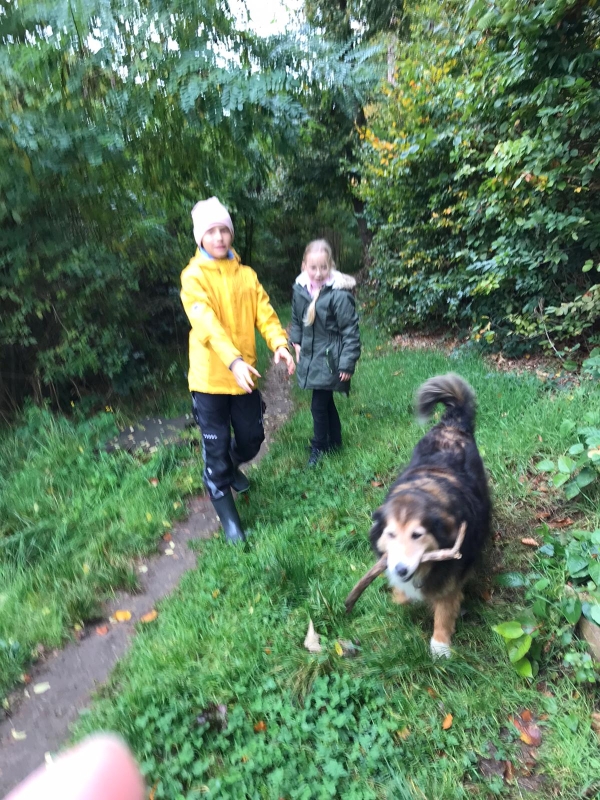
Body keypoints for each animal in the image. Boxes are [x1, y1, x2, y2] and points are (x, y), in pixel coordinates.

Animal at [369, 373, 490, 658]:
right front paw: (401, 595)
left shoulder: (451, 576)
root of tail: (452, 423)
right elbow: (404, 594)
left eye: (418, 535)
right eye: (391, 534)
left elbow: (445, 609)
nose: (401, 570)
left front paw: (440, 646)